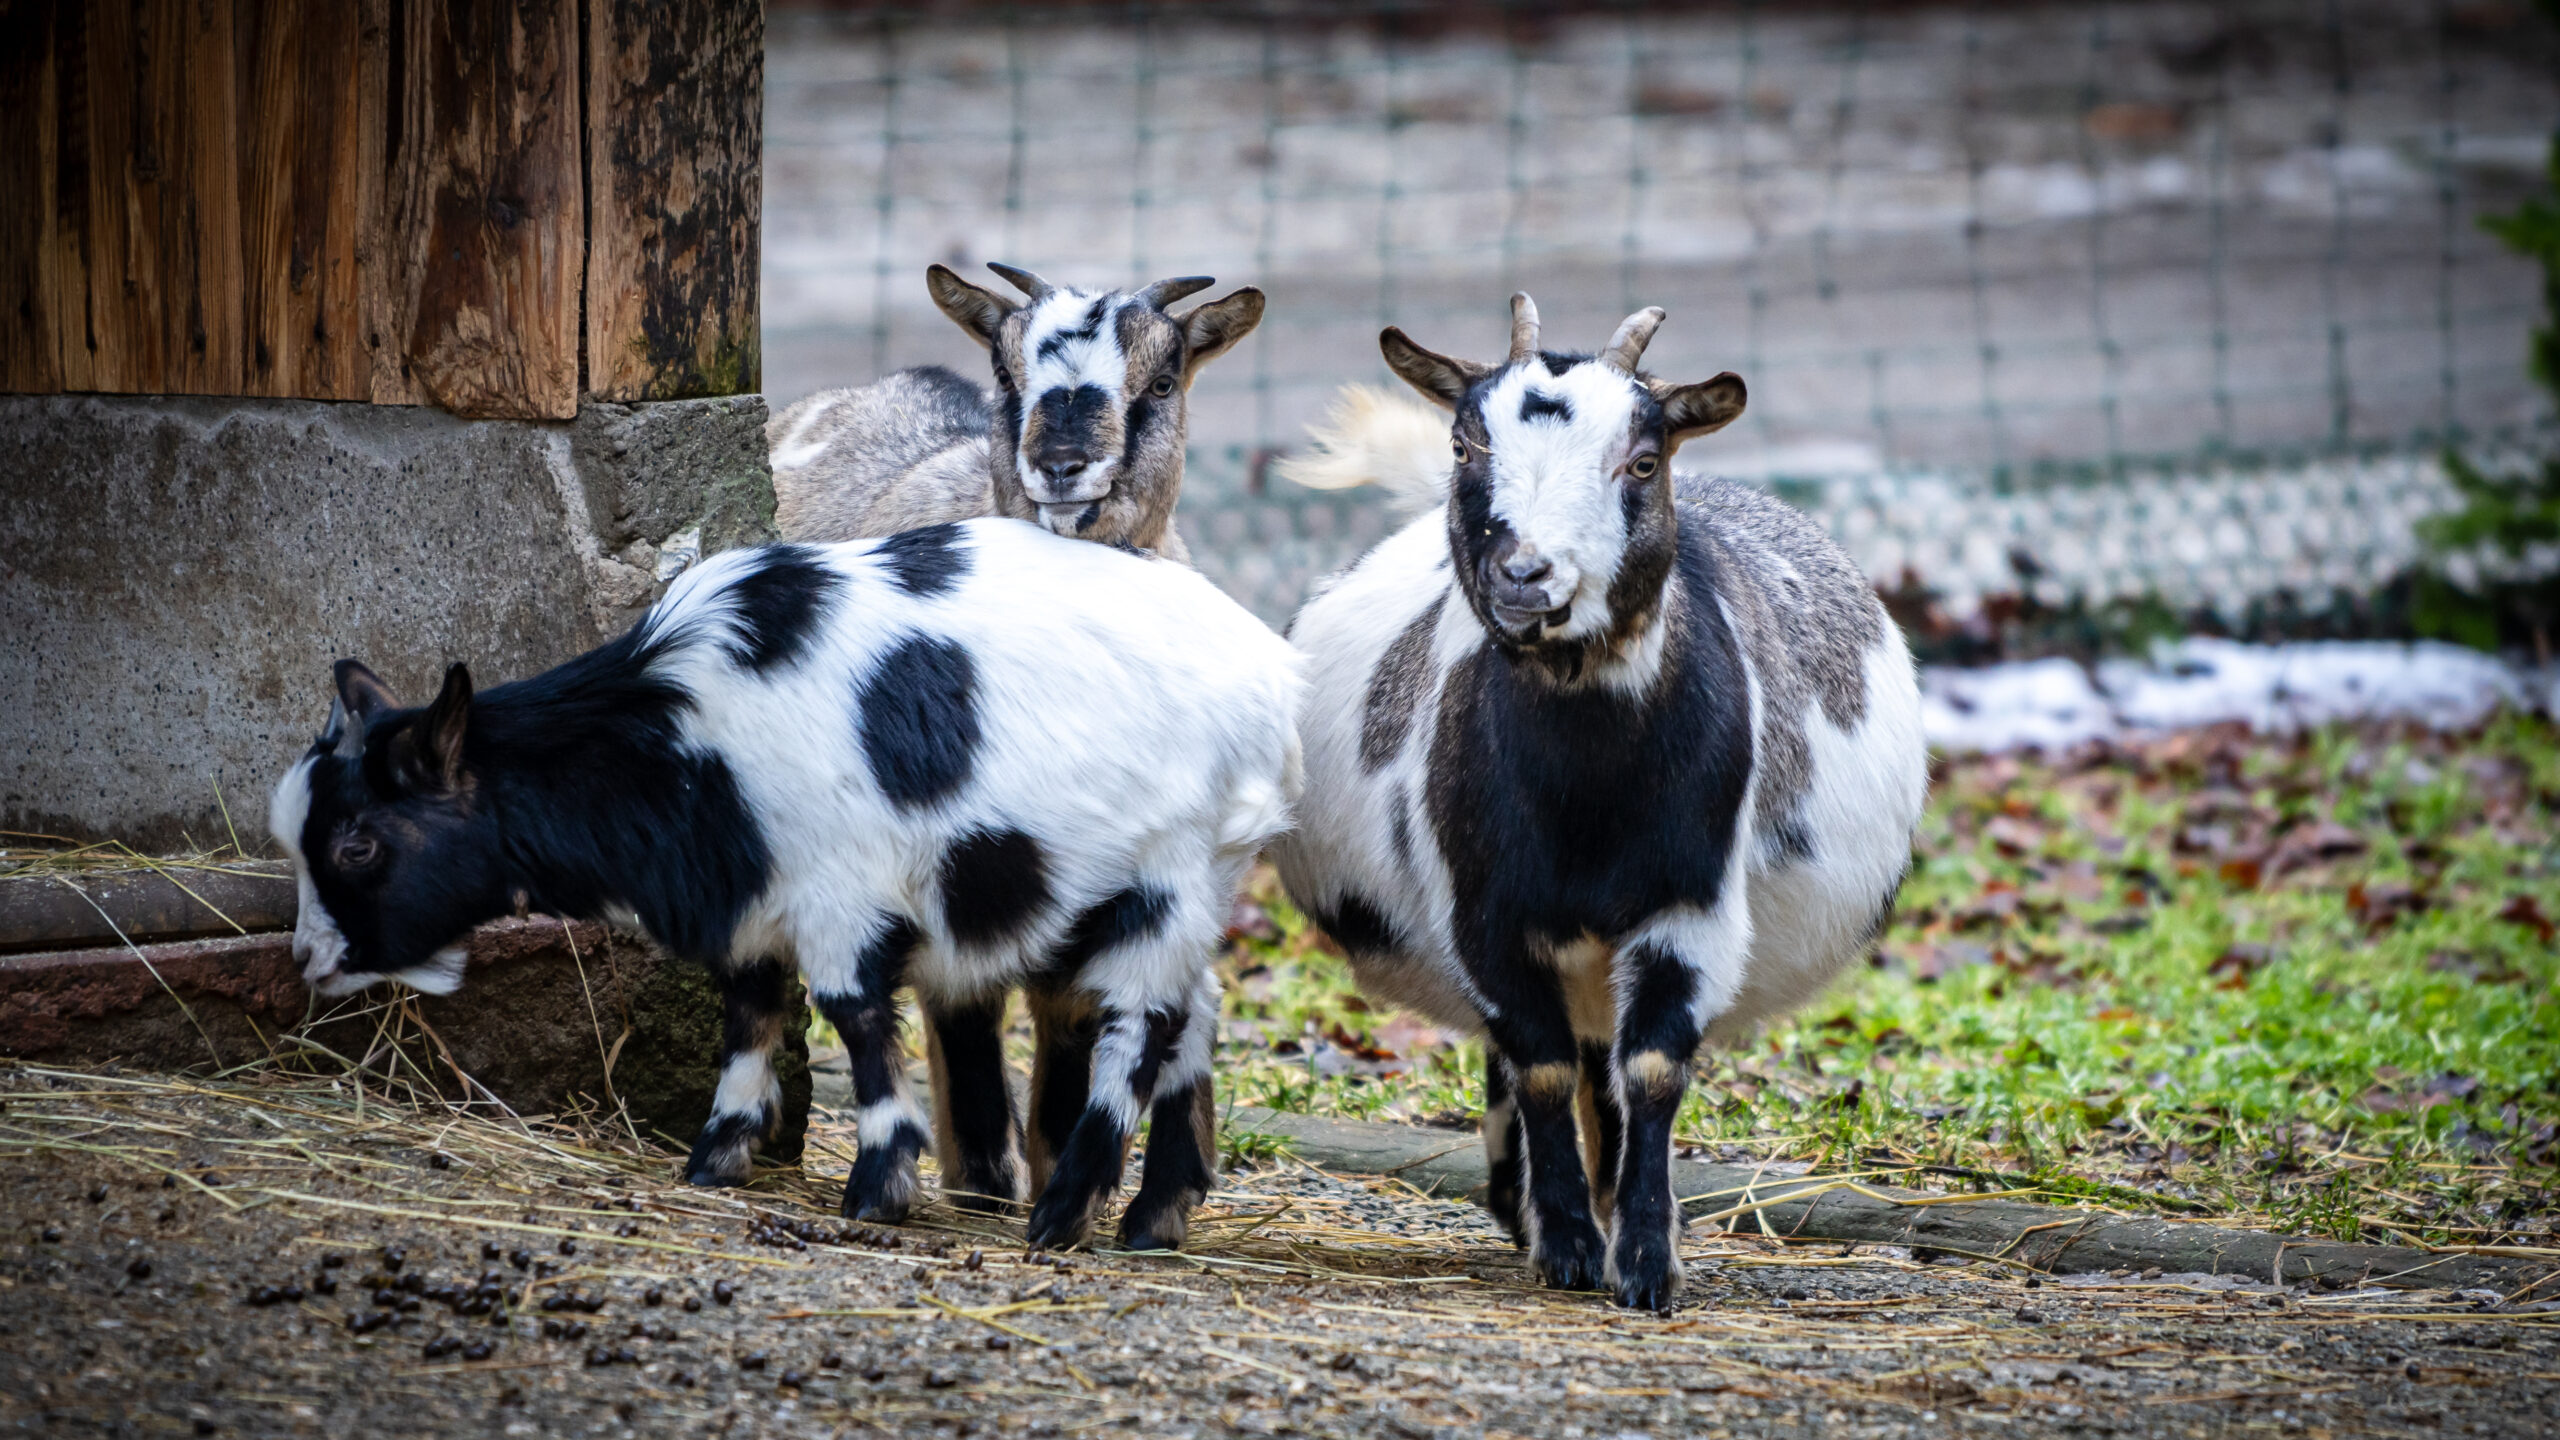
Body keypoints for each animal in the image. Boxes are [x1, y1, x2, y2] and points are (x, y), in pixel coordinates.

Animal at [268, 519, 1302, 1251]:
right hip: (1146, 890)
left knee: (1141, 1024)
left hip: (1169, 872)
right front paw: (716, 1157)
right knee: (1195, 1014)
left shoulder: (838, 896)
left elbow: (855, 1019)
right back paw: (1156, 1218)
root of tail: (1273, 672)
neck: (684, 737)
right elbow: (752, 1015)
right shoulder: (748, 906)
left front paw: (878, 1188)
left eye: (357, 845)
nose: (308, 960)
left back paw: (1065, 1213)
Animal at [1270, 296, 1927, 1309]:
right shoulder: (1486, 916)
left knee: (1605, 1066)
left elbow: (1650, 1069)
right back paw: (1529, 1205)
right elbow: (1538, 1066)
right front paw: (1570, 1245)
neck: (1588, 797)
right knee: (1553, 1059)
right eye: (1464, 444)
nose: (1526, 576)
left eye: (1644, 461)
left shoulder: (1689, 907)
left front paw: (1648, 1260)